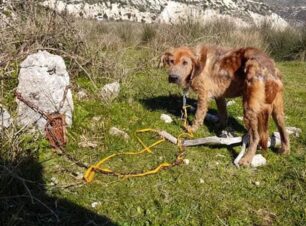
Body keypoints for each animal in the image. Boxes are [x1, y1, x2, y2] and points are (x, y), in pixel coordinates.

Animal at [161, 44, 290, 166]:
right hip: (277, 110)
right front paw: (219, 127)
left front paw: (192, 129)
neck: (198, 64)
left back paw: (246, 159)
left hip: (249, 108)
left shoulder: (203, 95)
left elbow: (199, 115)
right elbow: (223, 114)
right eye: (171, 61)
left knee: (255, 136)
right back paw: (285, 150)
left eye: (185, 62)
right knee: (283, 131)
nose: (173, 77)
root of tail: (270, 68)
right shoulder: (220, 96)